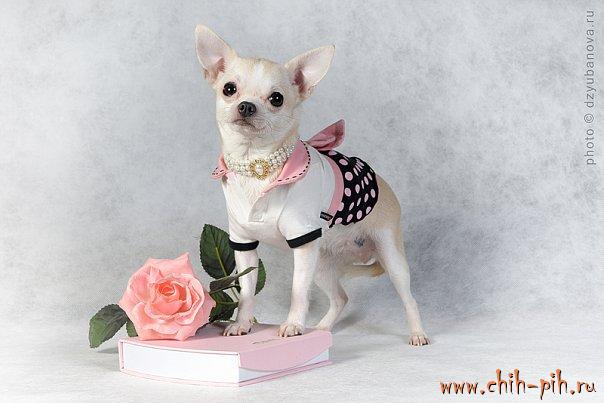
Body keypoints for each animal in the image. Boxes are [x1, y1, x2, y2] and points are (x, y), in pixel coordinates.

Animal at [195, 25, 429, 345]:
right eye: (229, 89)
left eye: (277, 99)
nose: (246, 106)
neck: (256, 166)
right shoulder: (244, 245)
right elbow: (245, 292)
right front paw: (242, 324)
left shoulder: (302, 242)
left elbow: (298, 291)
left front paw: (293, 325)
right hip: (321, 263)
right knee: (341, 297)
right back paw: (322, 328)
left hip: (390, 257)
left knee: (409, 298)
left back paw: (417, 333)